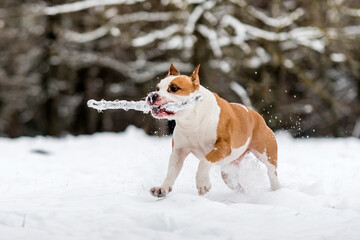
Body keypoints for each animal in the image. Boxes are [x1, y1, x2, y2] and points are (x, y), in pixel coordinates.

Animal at [147, 63, 282, 197]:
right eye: (157, 88)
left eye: (174, 88)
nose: (152, 95)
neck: (192, 120)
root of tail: (257, 115)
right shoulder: (179, 152)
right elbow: (171, 171)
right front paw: (163, 188)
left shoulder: (223, 146)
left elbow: (205, 161)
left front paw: (203, 183)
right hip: (228, 172)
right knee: (236, 184)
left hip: (266, 154)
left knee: (272, 172)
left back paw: (277, 191)